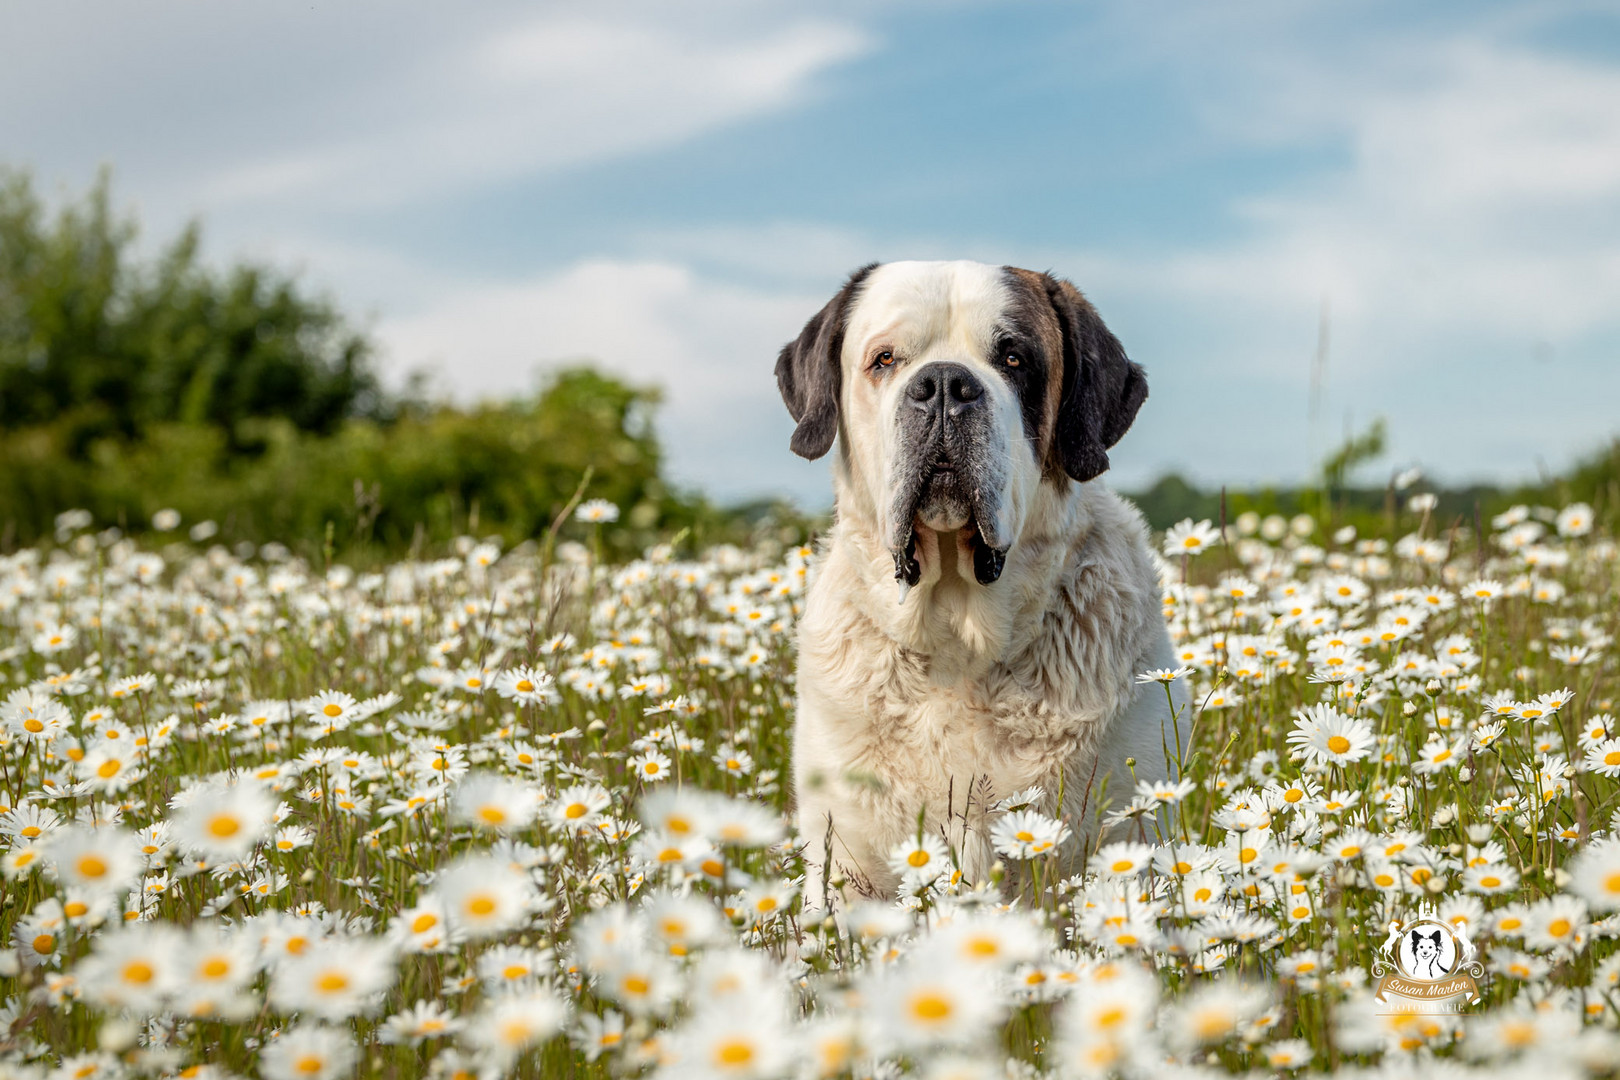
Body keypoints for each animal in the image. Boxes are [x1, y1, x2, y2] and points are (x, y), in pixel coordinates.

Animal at [777, 262, 1185, 906]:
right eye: (885, 359)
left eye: (1014, 358)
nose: (945, 384)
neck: (956, 635)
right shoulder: (846, 853)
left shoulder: (1131, 822)